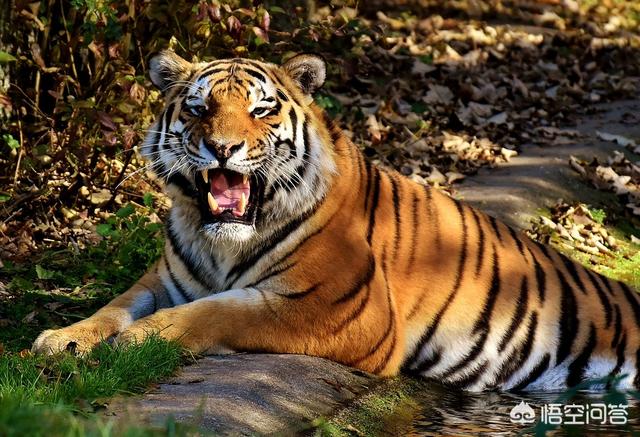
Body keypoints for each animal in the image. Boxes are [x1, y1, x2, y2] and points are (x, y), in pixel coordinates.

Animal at [32, 51, 640, 392]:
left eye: (261, 111)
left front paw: (135, 342)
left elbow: (218, 313)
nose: (222, 148)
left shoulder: (341, 308)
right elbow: (115, 307)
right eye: (199, 108)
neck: (222, 243)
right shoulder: (164, 279)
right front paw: (63, 339)